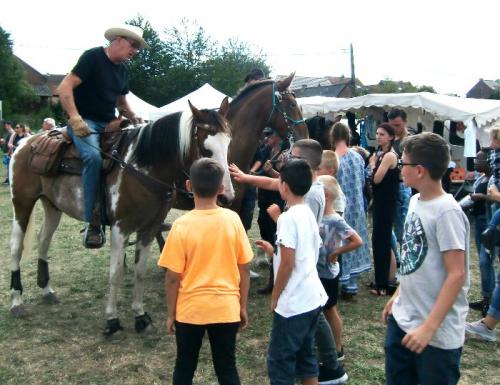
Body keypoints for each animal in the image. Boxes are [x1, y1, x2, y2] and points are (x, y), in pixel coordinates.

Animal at [8, 97, 234, 336]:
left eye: (228, 143)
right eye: (205, 149)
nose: (226, 196)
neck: (141, 168)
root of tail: (26, 142)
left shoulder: (149, 229)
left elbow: (140, 271)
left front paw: (140, 316)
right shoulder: (120, 228)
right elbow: (116, 273)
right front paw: (112, 320)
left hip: (52, 206)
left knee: (44, 240)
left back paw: (47, 289)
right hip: (22, 203)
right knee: (16, 247)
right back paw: (16, 301)